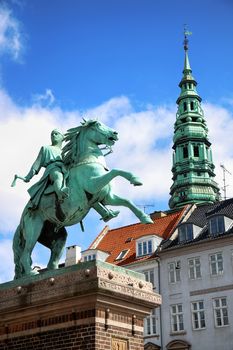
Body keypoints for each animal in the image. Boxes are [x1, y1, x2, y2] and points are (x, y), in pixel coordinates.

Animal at [13, 120, 154, 278]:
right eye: (98, 124)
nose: (115, 133)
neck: (89, 162)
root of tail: (22, 217)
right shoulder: (94, 184)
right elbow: (115, 171)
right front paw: (135, 178)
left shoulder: (106, 197)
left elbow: (127, 201)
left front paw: (145, 218)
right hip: (34, 228)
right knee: (25, 253)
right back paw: (31, 273)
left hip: (56, 236)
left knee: (52, 260)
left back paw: (54, 272)